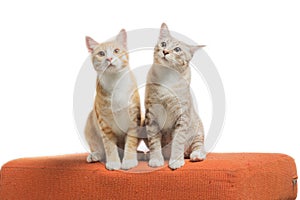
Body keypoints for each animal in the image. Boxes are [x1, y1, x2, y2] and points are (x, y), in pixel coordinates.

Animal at [84, 29, 141, 170]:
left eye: (116, 50)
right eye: (101, 53)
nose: (109, 58)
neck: (115, 82)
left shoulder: (133, 118)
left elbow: (131, 141)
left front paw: (129, 160)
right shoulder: (103, 121)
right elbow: (109, 145)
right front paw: (114, 162)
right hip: (90, 123)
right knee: (99, 148)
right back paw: (95, 155)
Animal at [145, 23, 206, 170]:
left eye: (177, 49)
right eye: (163, 43)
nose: (165, 51)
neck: (166, 78)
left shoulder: (182, 116)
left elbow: (178, 141)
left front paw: (176, 161)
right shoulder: (151, 116)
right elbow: (154, 141)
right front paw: (156, 159)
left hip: (198, 129)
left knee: (198, 146)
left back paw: (196, 155)